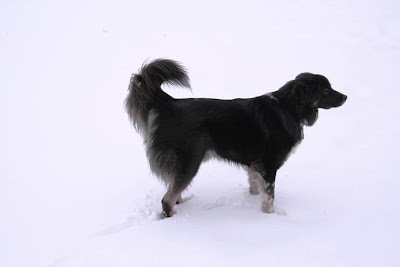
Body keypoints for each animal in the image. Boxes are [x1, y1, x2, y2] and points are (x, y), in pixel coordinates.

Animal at [126, 59, 346, 218]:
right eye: (326, 90)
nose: (345, 97)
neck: (288, 107)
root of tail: (169, 105)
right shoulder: (269, 165)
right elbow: (269, 196)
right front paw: (271, 218)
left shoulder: (256, 165)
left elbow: (256, 186)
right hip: (190, 162)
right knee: (167, 199)